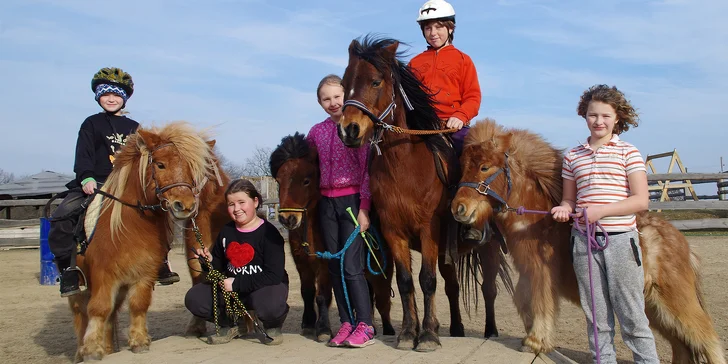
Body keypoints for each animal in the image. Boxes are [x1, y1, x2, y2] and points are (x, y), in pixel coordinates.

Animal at [70, 122, 228, 362]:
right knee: (83, 313)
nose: (186, 205)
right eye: (160, 165)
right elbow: (99, 308)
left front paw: (139, 342)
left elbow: (138, 304)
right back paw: (83, 350)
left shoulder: (145, 273)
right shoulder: (104, 274)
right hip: (81, 285)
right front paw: (91, 350)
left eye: (195, 168)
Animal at [268, 132, 392, 342]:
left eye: (306, 180)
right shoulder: (302, 262)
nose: (288, 219)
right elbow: (307, 292)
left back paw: (387, 330)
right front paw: (309, 324)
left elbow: (322, 295)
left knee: (382, 297)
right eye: (278, 180)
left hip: (380, 266)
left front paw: (324, 329)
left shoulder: (325, 262)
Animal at [336, 35, 512, 352]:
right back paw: (455, 329)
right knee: (453, 286)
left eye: (376, 81)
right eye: (344, 83)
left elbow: (427, 280)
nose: (349, 130)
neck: (403, 166)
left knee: (488, 288)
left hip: (488, 247)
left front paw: (427, 336)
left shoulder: (428, 230)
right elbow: (407, 282)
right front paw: (409, 332)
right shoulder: (394, 232)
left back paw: (490, 331)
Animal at [452, 118, 724, 362]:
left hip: (675, 301)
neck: (537, 220)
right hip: (653, 306)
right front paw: (533, 337)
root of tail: (682, 243)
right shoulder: (527, 271)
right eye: (463, 167)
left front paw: (536, 341)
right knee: (682, 346)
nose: (458, 208)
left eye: (484, 167)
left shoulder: (540, 271)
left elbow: (540, 300)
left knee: (707, 340)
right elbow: (522, 299)